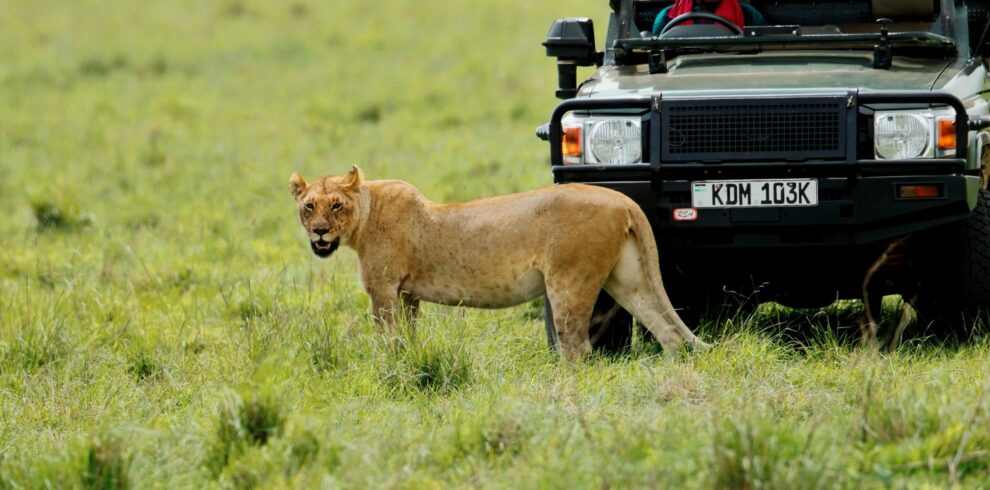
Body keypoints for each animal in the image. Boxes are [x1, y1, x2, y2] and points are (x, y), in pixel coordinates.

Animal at [289, 166, 707, 360]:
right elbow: (408, 338)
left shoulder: (384, 291)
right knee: (667, 332)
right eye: (309, 206)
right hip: (628, 278)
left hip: (569, 282)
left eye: (336, 205)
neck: (365, 214)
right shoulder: (407, 294)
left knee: (576, 345)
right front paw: (408, 363)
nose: (320, 232)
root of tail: (623, 200)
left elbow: (386, 340)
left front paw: (385, 367)